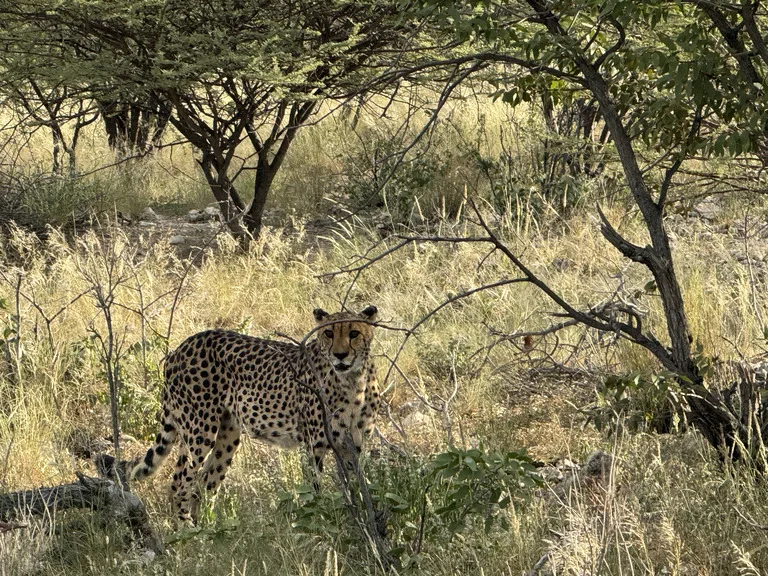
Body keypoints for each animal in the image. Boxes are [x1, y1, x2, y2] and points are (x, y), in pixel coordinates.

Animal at [133, 306, 384, 520]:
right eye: (329, 333)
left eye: (354, 333)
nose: (340, 355)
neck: (353, 381)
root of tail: (180, 347)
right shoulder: (315, 445)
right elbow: (313, 491)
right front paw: (319, 522)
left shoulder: (354, 445)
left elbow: (358, 486)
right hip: (200, 431)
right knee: (180, 484)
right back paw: (188, 533)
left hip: (227, 435)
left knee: (205, 483)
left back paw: (211, 532)